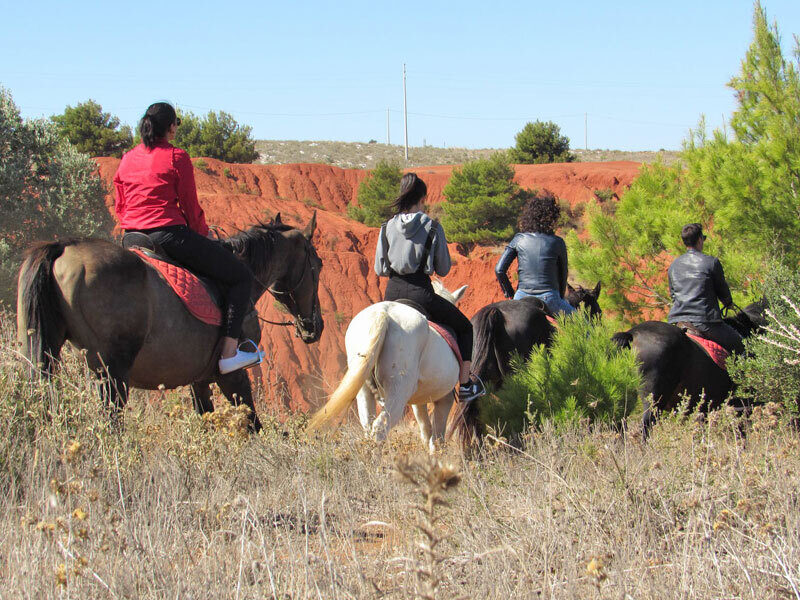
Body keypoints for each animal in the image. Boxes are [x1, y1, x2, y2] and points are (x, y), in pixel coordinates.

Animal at [16, 213, 323, 431]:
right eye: (318, 267)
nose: (315, 327)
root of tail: (64, 247)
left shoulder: (198, 379)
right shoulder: (232, 375)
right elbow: (253, 426)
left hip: (47, 353)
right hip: (112, 371)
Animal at [307, 280, 467, 453]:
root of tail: (383, 314)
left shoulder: (420, 402)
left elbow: (426, 429)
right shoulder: (445, 399)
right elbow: (437, 437)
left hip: (364, 389)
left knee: (368, 426)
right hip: (398, 391)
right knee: (380, 427)